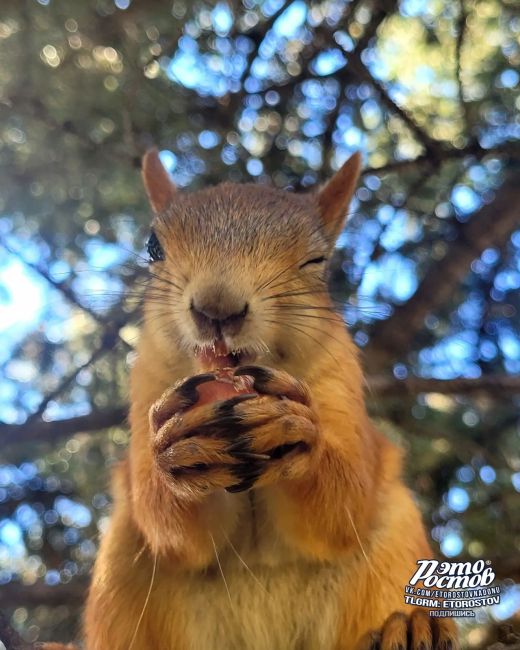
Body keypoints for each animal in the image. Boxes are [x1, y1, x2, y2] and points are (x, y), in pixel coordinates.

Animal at [46, 149, 458, 644]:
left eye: (316, 260)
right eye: (153, 247)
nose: (217, 309)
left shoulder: (340, 380)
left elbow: (342, 510)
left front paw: (295, 433)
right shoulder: (146, 383)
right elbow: (174, 531)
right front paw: (175, 452)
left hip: (393, 544)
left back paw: (413, 627)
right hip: (121, 568)